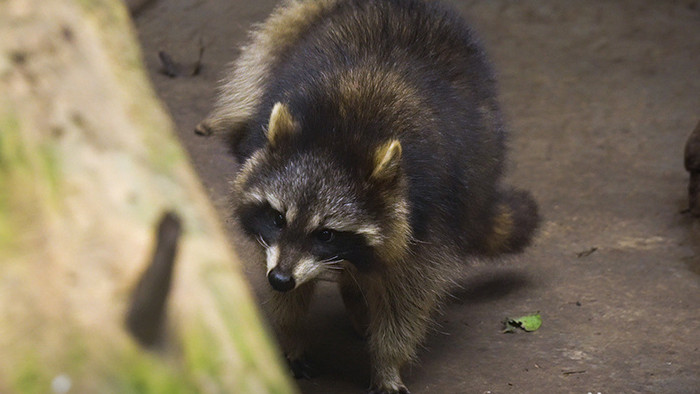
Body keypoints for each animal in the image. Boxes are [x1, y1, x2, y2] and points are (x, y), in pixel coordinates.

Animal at [198, 1, 540, 392]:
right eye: (277, 217)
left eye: (326, 234)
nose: (280, 280)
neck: (340, 135)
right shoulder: (270, 238)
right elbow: (283, 284)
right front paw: (291, 331)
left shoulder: (429, 216)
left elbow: (409, 298)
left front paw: (388, 360)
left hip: (480, 150)